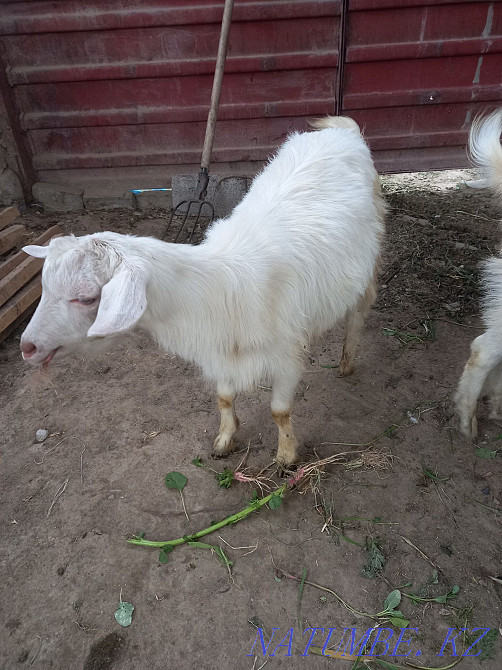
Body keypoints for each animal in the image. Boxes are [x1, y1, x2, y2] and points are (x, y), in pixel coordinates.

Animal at [21, 116, 385, 466]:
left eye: (86, 298)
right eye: (44, 288)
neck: (220, 289)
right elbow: (224, 397)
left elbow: (279, 412)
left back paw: (347, 361)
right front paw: (225, 440)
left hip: (369, 257)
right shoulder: (218, 352)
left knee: (361, 307)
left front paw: (286, 457)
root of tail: (343, 131)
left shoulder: (286, 356)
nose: (27, 347)